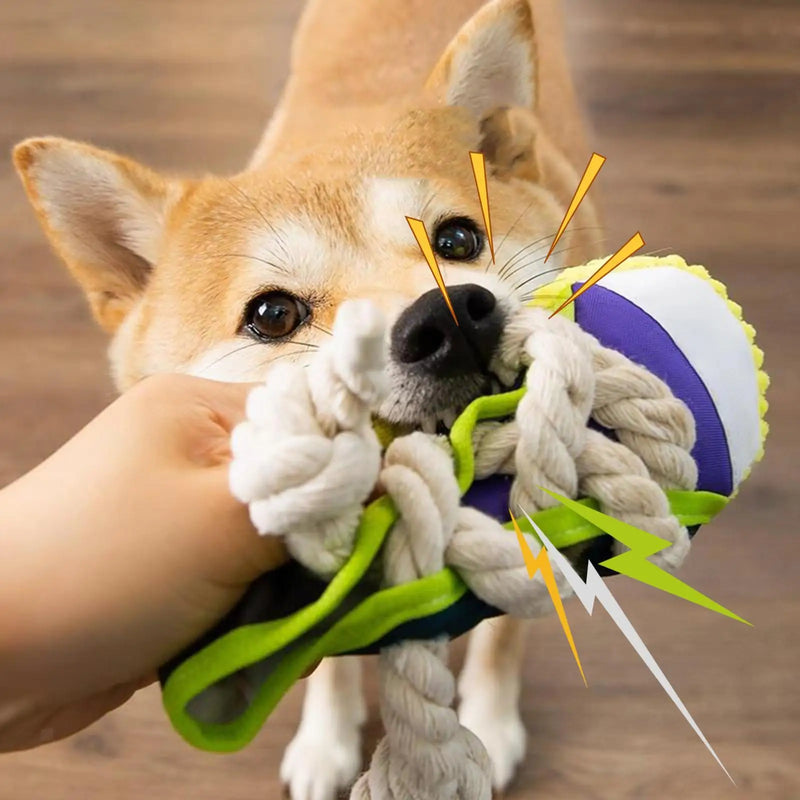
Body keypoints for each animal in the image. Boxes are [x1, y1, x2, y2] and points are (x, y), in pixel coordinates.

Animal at [14, 0, 600, 796]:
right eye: (272, 315)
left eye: (457, 238)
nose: (450, 321)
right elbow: (324, 649)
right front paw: (325, 740)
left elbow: (509, 623)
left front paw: (490, 717)